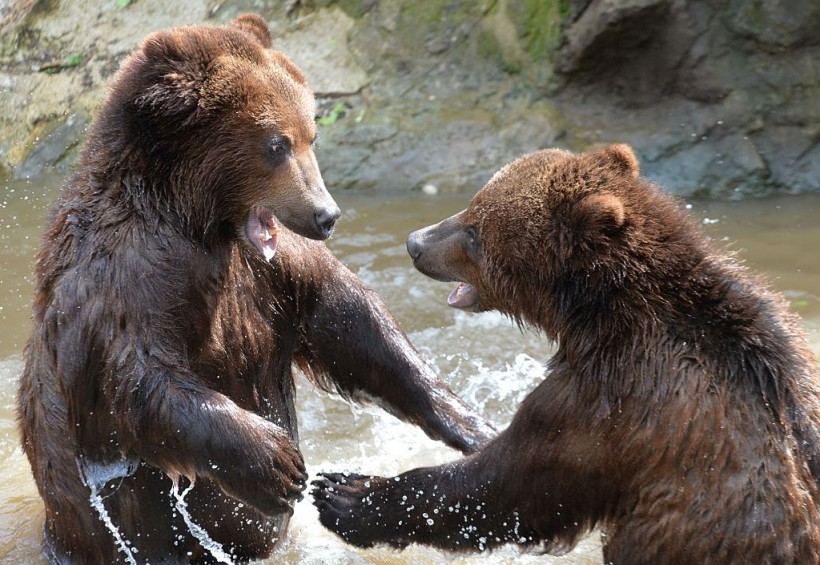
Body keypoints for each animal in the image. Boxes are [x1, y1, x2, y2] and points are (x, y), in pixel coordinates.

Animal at [17, 14, 494, 564]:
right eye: (275, 143)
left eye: (311, 135)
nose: (326, 214)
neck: (198, 220)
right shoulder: (124, 275)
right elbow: (131, 380)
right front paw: (276, 462)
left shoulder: (269, 270)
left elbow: (350, 321)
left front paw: (473, 424)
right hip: (116, 530)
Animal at [314, 144, 820, 560]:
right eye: (471, 203)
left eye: (476, 229)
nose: (415, 242)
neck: (600, 312)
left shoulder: (611, 401)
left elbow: (512, 483)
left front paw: (345, 493)